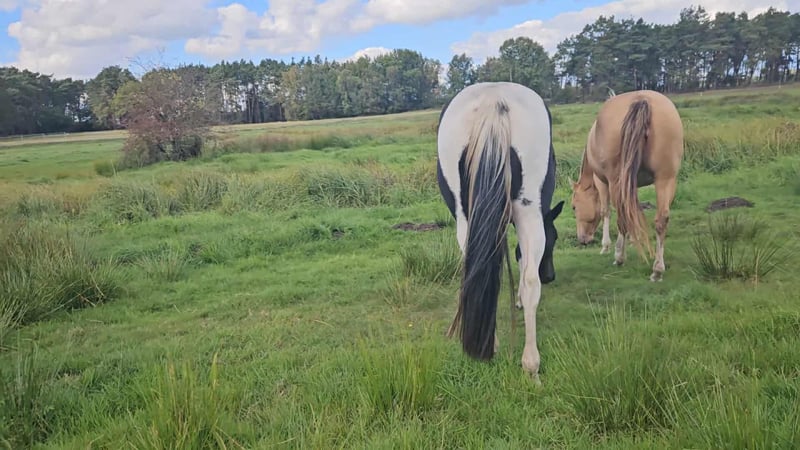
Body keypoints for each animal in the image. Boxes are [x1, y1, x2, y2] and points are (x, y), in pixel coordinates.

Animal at [436, 82, 564, 378]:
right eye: (555, 239)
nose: (550, 276)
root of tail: (494, 99)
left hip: (466, 218)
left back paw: (489, 346)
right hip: (529, 211)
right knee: (530, 282)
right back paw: (531, 366)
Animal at [570, 89, 684, 282]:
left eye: (574, 207)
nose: (582, 239)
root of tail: (642, 100)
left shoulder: (602, 182)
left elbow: (606, 212)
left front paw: (606, 246)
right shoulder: (632, 184)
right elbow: (635, 211)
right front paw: (634, 239)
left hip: (617, 181)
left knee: (621, 217)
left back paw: (619, 257)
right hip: (666, 178)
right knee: (661, 220)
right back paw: (657, 270)